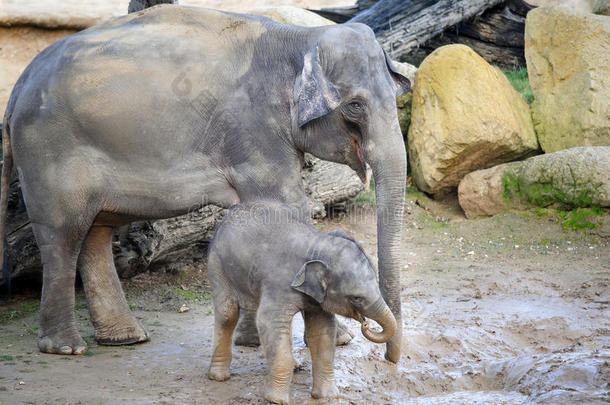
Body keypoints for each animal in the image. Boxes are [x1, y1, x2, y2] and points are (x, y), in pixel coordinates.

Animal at [2, 4, 408, 362]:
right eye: (355, 105)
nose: (389, 356)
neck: (299, 38)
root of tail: (17, 88)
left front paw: (253, 339)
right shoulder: (252, 129)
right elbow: (287, 205)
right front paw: (338, 337)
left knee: (95, 231)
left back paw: (126, 338)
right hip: (49, 152)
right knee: (63, 235)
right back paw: (66, 348)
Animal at [205, 200, 394, 402]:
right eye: (356, 298)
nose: (365, 324)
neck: (316, 245)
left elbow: (322, 330)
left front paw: (326, 396)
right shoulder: (278, 284)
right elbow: (269, 321)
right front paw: (276, 400)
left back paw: (294, 366)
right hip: (217, 265)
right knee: (228, 313)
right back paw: (219, 377)